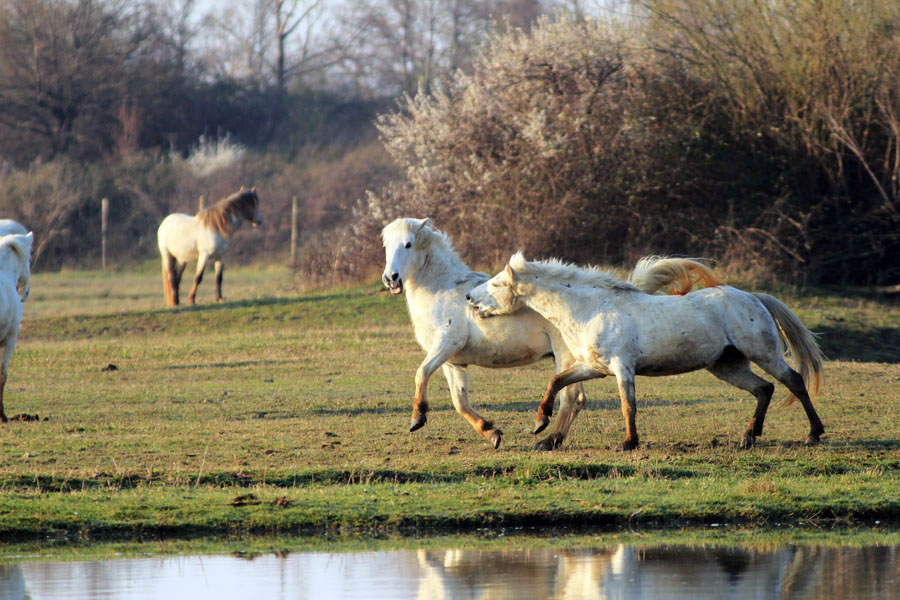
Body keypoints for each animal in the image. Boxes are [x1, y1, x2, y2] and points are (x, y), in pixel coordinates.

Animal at [382, 218, 724, 448]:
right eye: (387, 245)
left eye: (408, 244)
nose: (391, 278)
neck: (443, 290)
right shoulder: (454, 361)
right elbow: (459, 401)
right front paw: (492, 433)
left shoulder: (444, 346)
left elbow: (420, 373)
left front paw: (417, 419)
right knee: (574, 397)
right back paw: (550, 438)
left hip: (565, 355)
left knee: (572, 396)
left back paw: (547, 437)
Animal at [468, 251, 828, 452]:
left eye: (497, 284)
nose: (470, 298)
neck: (592, 308)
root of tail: (754, 297)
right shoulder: (594, 366)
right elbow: (556, 381)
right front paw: (540, 423)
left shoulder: (621, 367)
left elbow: (628, 406)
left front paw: (628, 443)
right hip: (727, 366)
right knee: (764, 389)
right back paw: (749, 436)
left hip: (764, 354)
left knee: (794, 381)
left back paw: (813, 433)